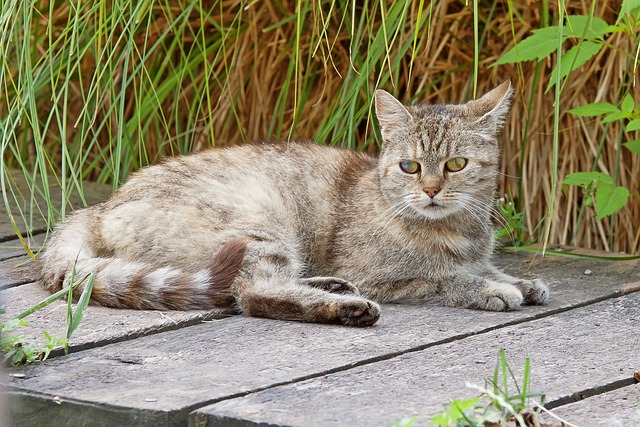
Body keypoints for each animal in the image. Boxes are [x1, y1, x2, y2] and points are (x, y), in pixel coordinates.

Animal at [38, 81, 552, 328]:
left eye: (457, 164)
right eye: (409, 167)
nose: (429, 190)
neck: (461, 231)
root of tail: (99, 207)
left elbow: (487, 267)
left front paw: (520, 281)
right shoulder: (386, 277)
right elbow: (443, 279)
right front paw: (491, 289)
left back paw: (331, 287)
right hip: (260, 229)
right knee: (252, 294)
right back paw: (347, 308)